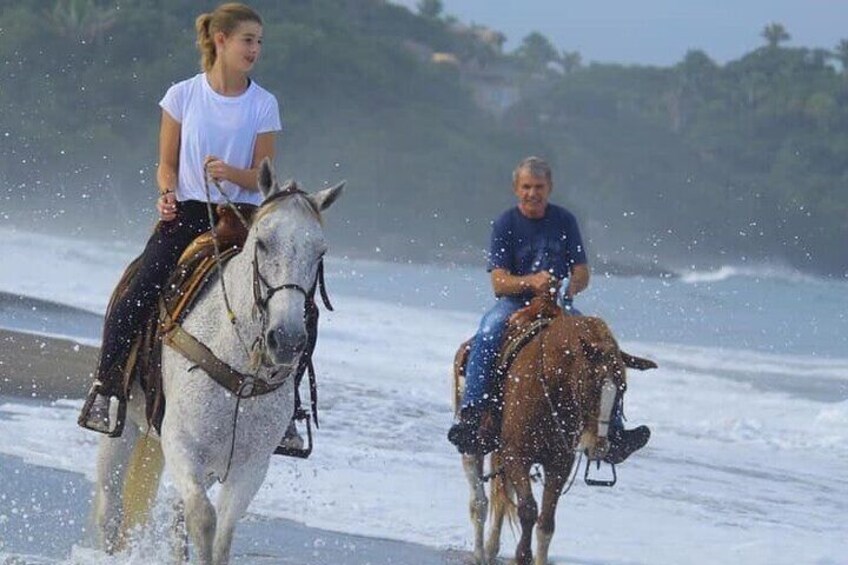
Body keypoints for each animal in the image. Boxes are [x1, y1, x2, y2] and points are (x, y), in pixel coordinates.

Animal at [93, 159, 344, 564]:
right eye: (262, 242)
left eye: (320, 252)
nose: (288, 340)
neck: (239, 364)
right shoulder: (180, 443)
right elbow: (202, 518)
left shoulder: (250, 466)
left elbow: (221, 533)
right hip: (124, 428)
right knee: (110, 510)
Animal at [454, 298, 660, 560]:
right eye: (590, 386)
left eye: (622, 389)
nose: (598, 446)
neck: (549, 383)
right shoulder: (517, 455)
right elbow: (528, 511)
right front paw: (522, 556)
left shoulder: (560, 463)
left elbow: (546, 523)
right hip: (473, 447)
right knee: (479, 502)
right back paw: (480, 554)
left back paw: (490, 551)